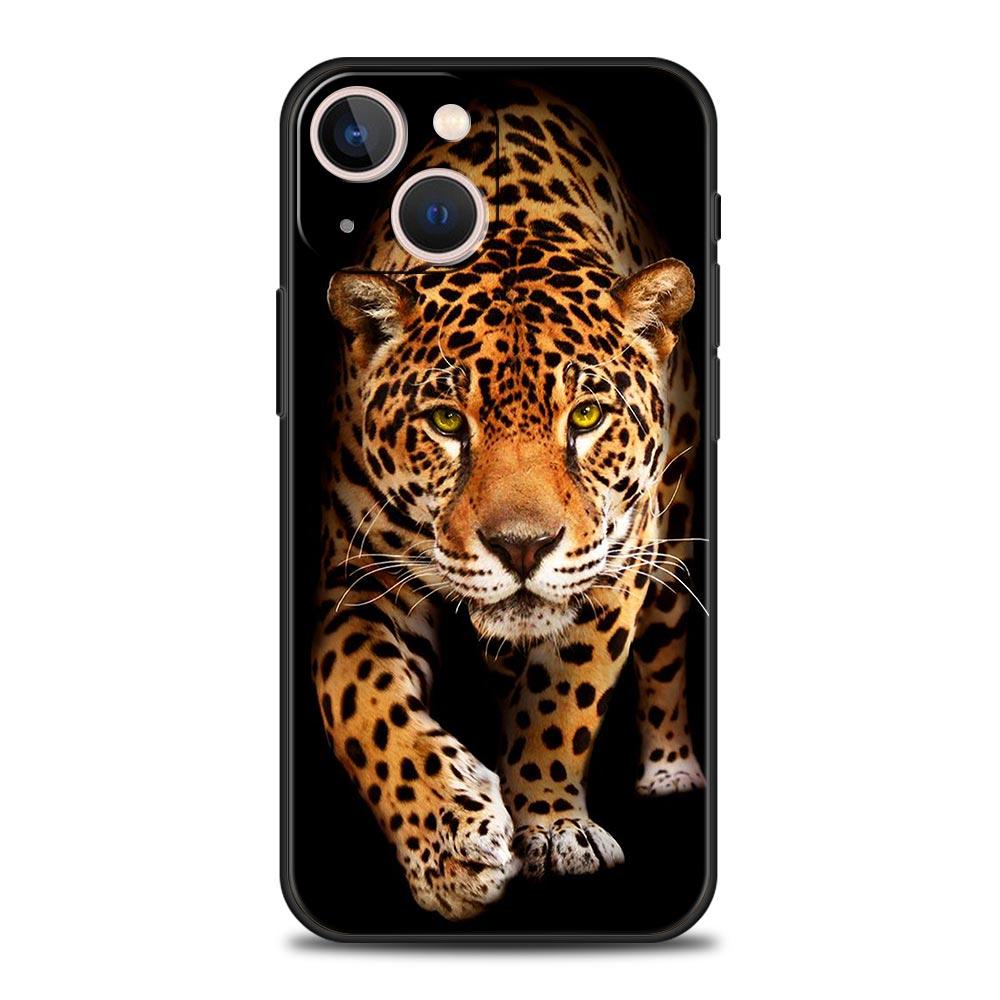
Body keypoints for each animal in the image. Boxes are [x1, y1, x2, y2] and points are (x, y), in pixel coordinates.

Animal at [311, 84, 706, 920]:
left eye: (585, 416)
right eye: (445, 421)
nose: (522, 547)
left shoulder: (616, 564)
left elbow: (563, 697)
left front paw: (552, 826)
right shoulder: (358, 582)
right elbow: (363, 701)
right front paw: (450, 847)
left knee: (665, 646)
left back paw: (670, 771)